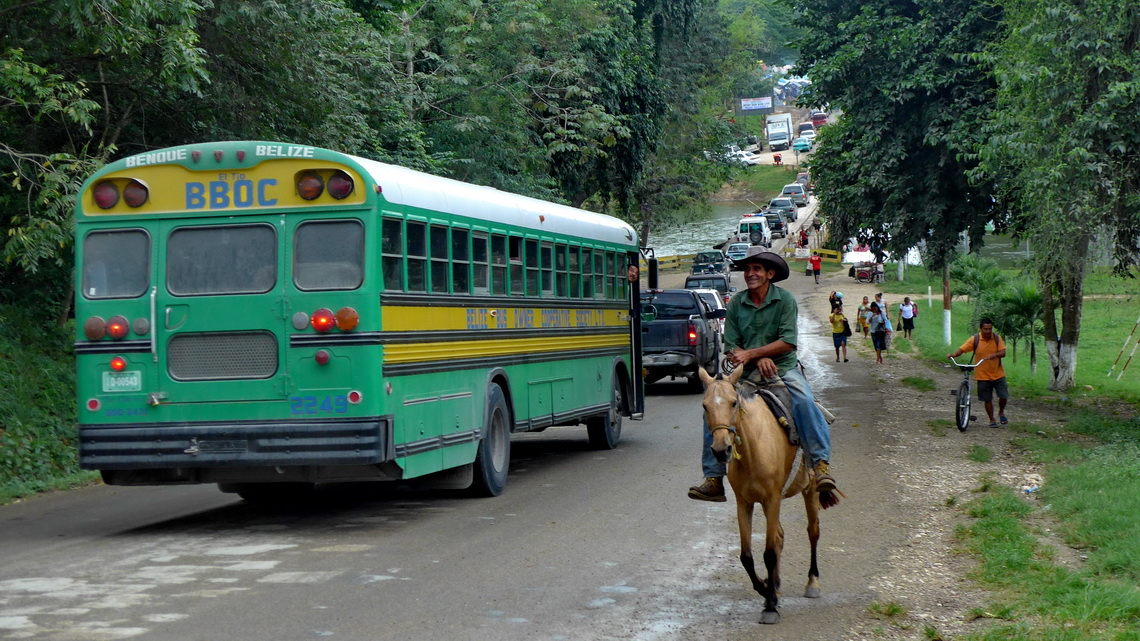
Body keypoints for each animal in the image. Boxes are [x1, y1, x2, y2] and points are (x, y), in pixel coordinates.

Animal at [693, 364, 820, 625]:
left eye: (733, 403)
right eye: (705, 406)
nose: (721, 450)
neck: (753, 448)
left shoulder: (772, 499)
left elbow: (769, 553)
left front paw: (770, 606)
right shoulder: (745, 503)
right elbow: (747, 555)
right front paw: (765, 588)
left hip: (809, 490)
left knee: (813, 531)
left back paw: (812, 582)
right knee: (780, 536)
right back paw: (776, 584)